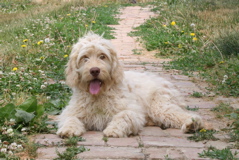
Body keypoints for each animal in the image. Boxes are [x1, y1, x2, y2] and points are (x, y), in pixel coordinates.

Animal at [56, 31, 204, 138]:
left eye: (102, 56)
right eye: (84, 58)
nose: (94, 70)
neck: (99, 95)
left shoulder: (133, 110)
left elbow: (124, 115)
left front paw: (114, 129)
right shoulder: (73, 111)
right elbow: (70, 118)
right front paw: (68, 129)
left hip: (160, 107)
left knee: (182, 114)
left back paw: (192, 124)